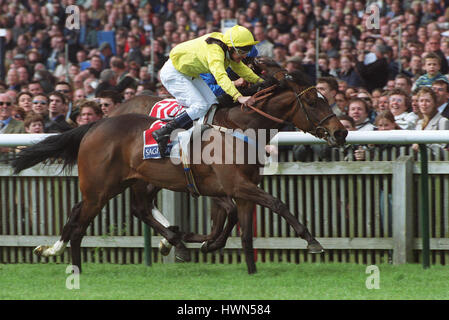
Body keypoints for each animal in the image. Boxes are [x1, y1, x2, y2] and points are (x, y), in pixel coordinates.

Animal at [11, 69, 346, 274]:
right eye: (313, 101)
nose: (340, 132)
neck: (240, 127)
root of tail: (95, 124)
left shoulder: (236, 188)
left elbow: (241, 228)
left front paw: (243, 265)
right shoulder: (234, 185)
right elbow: (277, 204)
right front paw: (312, 241)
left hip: (127, 182)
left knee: (131, 209)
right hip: (100, 188)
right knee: (82, 221)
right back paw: (75, 266)